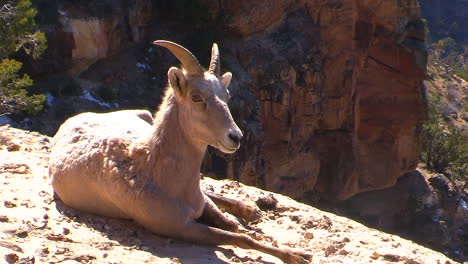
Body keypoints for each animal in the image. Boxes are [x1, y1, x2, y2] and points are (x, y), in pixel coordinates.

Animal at [48, 40, 310, 262]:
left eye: (226, 95)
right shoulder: (180, 228)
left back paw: (251, 210)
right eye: (196, 97)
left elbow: (232, 225)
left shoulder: (201, 204)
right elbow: (238, 236)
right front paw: (298, 256)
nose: (235, 137)